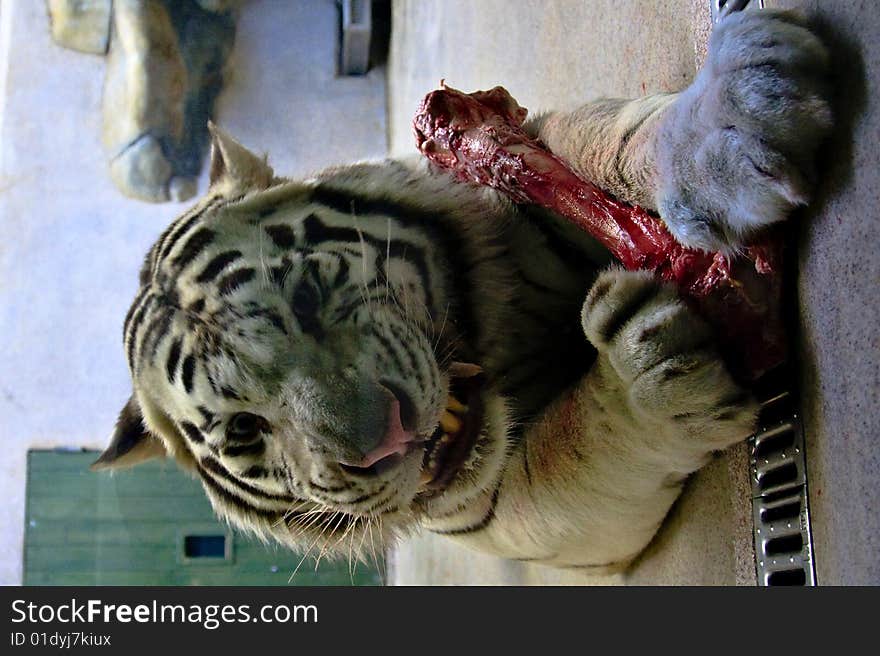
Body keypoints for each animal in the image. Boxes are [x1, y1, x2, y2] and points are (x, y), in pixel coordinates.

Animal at [98, 11, 832, 576]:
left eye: (304, 296)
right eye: (245, 428)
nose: (388, 441)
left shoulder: (524, 153)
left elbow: (599, 136)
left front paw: (738, 118)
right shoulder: (510, 510)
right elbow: (576, 445)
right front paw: (647, 372)